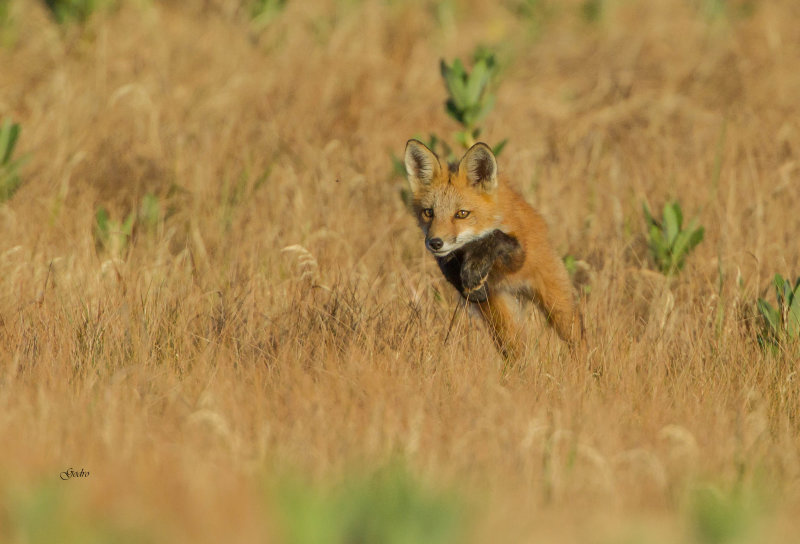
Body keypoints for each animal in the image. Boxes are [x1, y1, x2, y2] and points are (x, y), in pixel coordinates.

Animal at [406, 139, 580, 356]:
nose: (435, 243)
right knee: (516, 350)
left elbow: (495, 238)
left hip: (558, 306)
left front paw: (475, 267)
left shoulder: (518, 254)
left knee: (576, 335)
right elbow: (450, 266)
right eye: (429, 212)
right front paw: (466, 281)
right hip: (501, 318)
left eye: (462, 214)